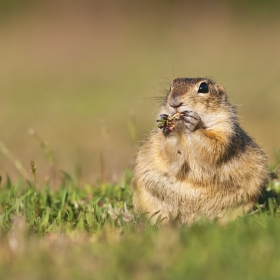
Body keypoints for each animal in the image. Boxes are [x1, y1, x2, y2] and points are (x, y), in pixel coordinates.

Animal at [132, 77, 268, 224]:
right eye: (170, 87)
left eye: (203, 88)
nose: (174, 102)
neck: (183, 130)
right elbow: (173, 158)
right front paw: (166, 125)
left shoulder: (225, 130)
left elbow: (214, 148)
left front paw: (193, 123)